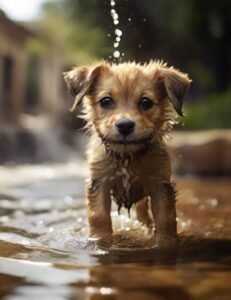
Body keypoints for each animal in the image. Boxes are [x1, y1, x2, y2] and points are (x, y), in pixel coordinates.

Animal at [64, 60, 190, 246]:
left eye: (146, 102)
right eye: (106, 101)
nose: (125, 125)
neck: (126, 157)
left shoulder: (160, 185)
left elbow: (165, 219)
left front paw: (166, 242)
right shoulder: (99, 183)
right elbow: (99, 217)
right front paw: (100, 240)